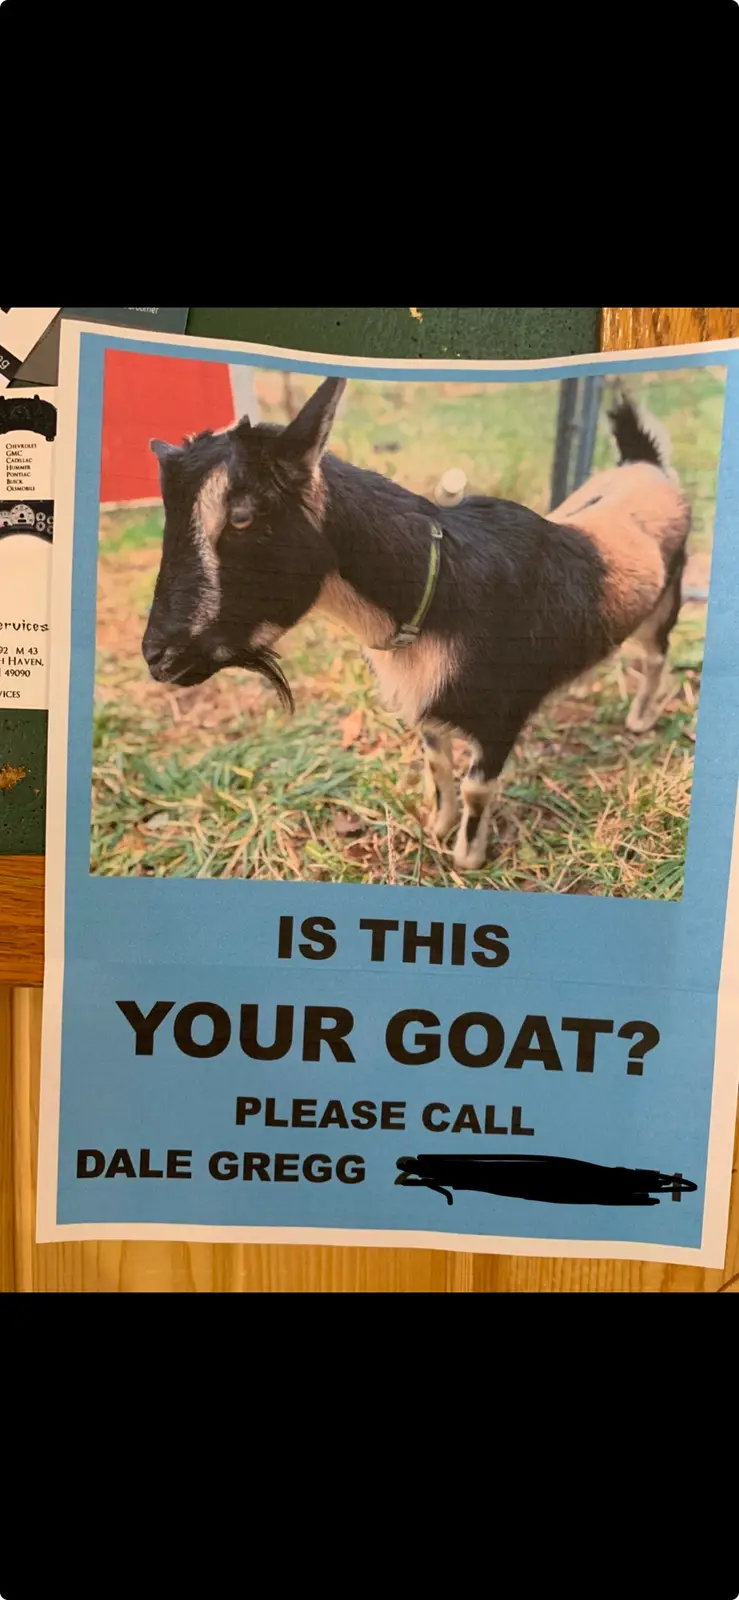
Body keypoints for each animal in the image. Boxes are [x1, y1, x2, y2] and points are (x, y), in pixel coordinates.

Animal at [143, 377, 690, 872]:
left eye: (241, 517)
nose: (158, 657)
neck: (438, 591)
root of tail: (646, 467)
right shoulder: (428, 709)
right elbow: (437, 763)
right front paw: (438, 826)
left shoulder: (503, 715)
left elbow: (476, 787)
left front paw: (467, 857)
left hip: (667, 599)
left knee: (656, 655)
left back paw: (640, 718)